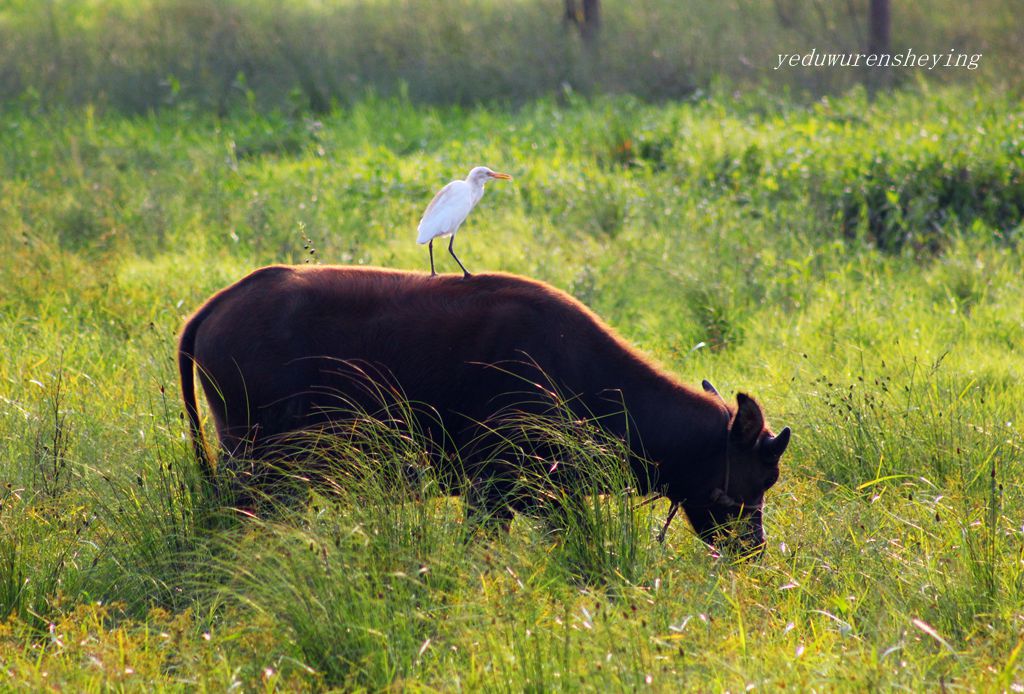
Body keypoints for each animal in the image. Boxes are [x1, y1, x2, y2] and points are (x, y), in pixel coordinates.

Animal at [178, 268, 790, 552]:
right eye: (763, 473)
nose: (753, 550)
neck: (575, 371)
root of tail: (218, 305)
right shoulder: (491, 492)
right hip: (254, 465)